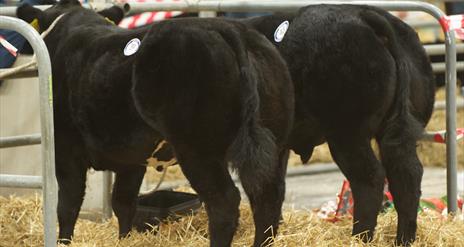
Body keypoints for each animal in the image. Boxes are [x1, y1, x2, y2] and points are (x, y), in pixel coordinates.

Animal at [19, 0, 294, 246]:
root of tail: (232, 29)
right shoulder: (130, 159)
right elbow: (124, 202)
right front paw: (125, 239)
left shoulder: (66, 149)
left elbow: (68, 203)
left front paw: (64, 241)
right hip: (275, 144)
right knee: (268, 198)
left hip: (198, 150)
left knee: (224, 203)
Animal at [245, 3, 436, 245]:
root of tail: (363, 14)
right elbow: (273, 189)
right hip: (400, 132)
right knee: (406, 175)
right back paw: (403, 240)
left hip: (346, 134)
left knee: (369, 178)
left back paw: (359, 237)